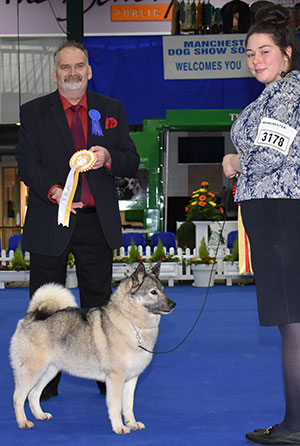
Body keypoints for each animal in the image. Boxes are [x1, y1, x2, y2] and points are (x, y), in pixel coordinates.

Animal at [9, 264, 176, 434]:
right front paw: (119, 427)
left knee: (33, 395)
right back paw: (23, 422)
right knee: (18, 397)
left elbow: (128, 406)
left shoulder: (131, 379)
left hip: (49, 371)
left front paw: (132, 423)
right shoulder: (116, 378)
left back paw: (40, 415)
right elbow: (116, 406)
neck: (132, 322)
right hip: (32, 371)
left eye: (163, 290)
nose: (173, 304)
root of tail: (33, 315)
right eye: (153, 292)